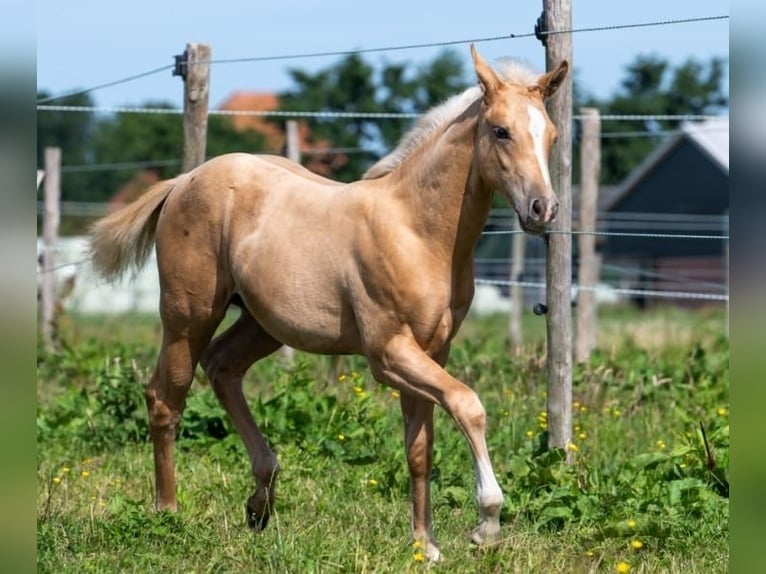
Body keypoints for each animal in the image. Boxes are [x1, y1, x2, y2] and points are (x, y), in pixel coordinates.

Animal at [89, 45, 567, 561]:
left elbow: (420, 450)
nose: (543, 209)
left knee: (222, 368)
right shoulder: (388, 353)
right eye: (500, 130)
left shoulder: (431, 351)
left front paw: (425, 544)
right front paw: (487, 524)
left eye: (552, 135)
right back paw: (168, 514)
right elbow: (468, 404)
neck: (416, 231)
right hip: (187, 316)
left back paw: (259, 502)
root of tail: (184, 180)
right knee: (165, 398)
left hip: (262, 324)